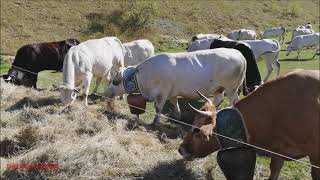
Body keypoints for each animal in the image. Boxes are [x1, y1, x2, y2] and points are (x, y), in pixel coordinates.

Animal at [105, 48, 248, 124]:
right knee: (219, 99)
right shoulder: (172, 93)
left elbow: (158, 108)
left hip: (232, 87)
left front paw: (155, 122)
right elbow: (175, 103)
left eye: (115, 82)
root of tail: (239, 54)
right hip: (219, 88)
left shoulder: (162, 92)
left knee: (234, 100)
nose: (107, 92)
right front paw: (178, 115)